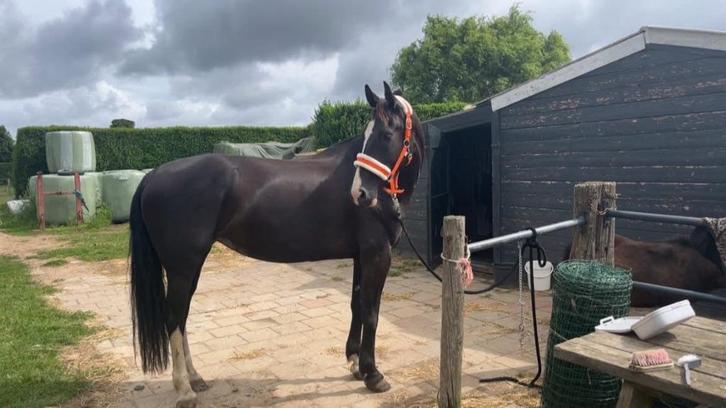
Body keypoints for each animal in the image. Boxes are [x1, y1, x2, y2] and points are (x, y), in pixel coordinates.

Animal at [128, 82, 425, 408]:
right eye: (368, 133)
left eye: (385, 134)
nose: (360, 193)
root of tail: (154, 174)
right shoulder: (377, 254)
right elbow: (371, 311)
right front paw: (373, 375)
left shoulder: (362, 255)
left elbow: (357, 306)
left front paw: (355, 363)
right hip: (182, 266)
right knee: (174, 317)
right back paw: (184, 389)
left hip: (190, 266)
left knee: (181, 317)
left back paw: (195, 378)